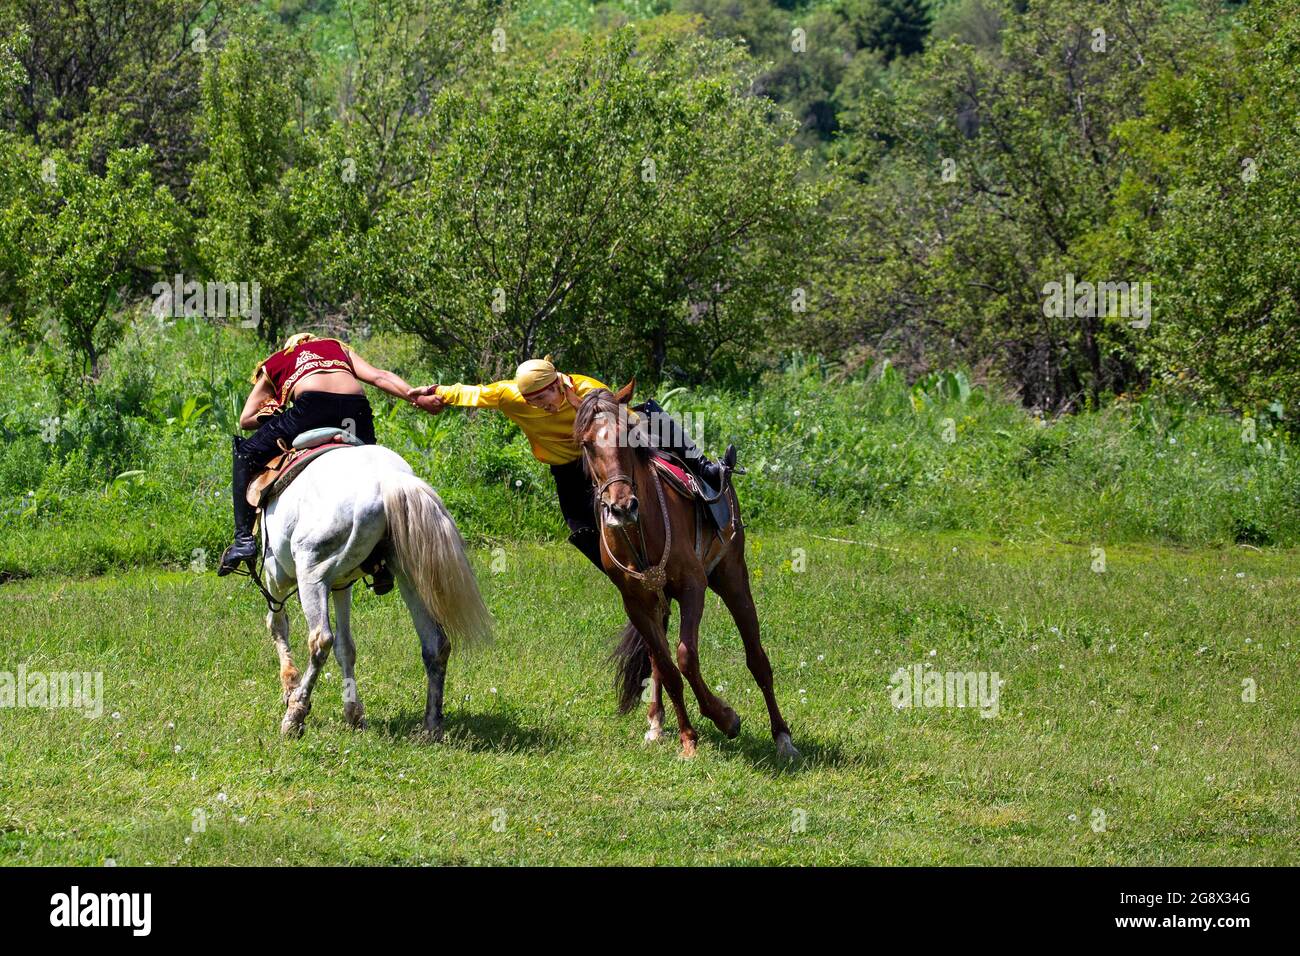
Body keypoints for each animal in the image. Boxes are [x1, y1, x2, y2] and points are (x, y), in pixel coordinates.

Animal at [257, 443, 492, 740]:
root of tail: (389, 480)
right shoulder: (341, 583)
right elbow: (346, 647)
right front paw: (354, 714)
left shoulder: (276, 573)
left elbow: (278, 625)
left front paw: (290, 688)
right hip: (409, 576)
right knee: (435, 644)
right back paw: (431, 727)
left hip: (311, 572)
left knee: (320, 641)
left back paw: (294, 717)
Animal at [574, 383, 798, 760]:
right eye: (588, 443)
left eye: (628, 437)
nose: (622, 507)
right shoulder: (637, 603)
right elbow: (667, 668)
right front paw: (688, 738)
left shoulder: (694, 588)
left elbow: (685, 657)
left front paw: (726, 718)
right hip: (658, 605)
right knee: (656, 662)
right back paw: (655, 723)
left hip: (733, 579)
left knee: (757, 658)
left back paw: (782, 736)